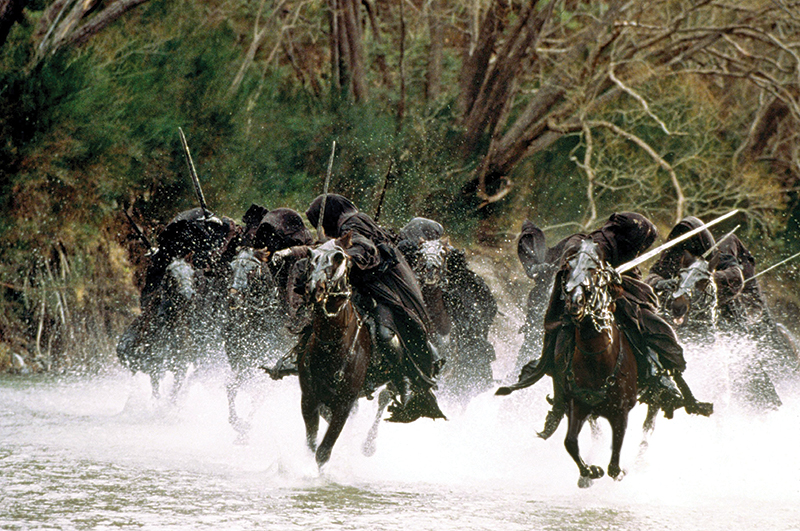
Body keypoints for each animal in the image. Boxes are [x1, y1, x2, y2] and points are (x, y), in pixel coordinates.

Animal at [558, 239, 639, 487]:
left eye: (593, 269)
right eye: (567, 268)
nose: (575, 303)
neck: (597, 360)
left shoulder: (620, 411)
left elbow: (616, 455)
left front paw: (618, 471)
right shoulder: (579, 404)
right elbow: (570, 442)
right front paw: (589, 472)